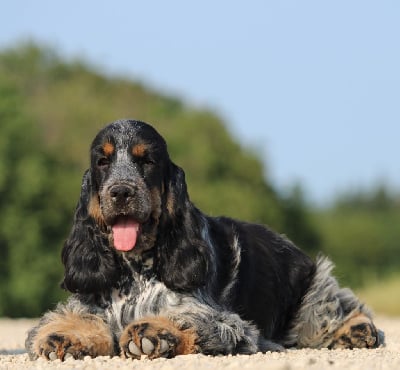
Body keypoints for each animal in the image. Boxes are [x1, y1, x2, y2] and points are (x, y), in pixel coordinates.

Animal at [25, 120, 384, 360]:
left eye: (147, 160)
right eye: (102, 161)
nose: (121, 192)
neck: (137, 269)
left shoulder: (227, 323)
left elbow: (189, 321)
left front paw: (155, 333)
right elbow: (73, 320)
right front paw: (64, 337)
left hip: (314, 293)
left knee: (343, 306)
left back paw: (357, 331)